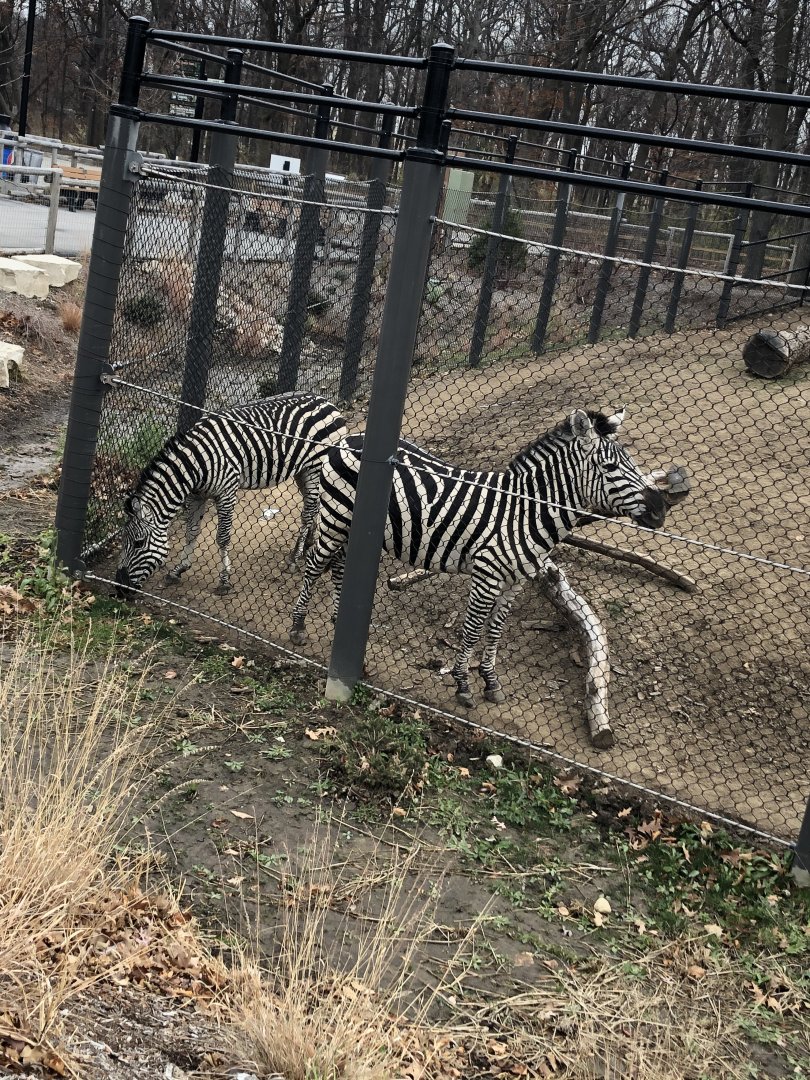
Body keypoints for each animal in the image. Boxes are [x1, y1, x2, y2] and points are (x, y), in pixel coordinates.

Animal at [115, 392, 347, 596]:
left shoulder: (226, 492)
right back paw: (307, 543)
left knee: (308, 511)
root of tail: (329, 403)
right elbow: (191, 531)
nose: (119, 588)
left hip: (315, 468)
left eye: (138, 543)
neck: (196, 464)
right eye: (124, 541)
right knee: (314, 506)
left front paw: (224, 581)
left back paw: (294, 559)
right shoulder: (197, 495)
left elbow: (223, 537)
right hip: (302, 470)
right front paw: (178, 569)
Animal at [289, 408, 669, 707]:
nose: (661, 508)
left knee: (339, 566)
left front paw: (491, 681)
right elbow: (472, 630)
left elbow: (496, 632)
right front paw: (462, 684)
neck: (523, 513)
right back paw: (297, 626)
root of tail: (349, 438)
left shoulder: (516, 580)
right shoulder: (487, 575)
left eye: (632, 462)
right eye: (610, 466)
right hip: (335, 516)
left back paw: (337, 620)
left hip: (348, 525)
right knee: (315, 564)